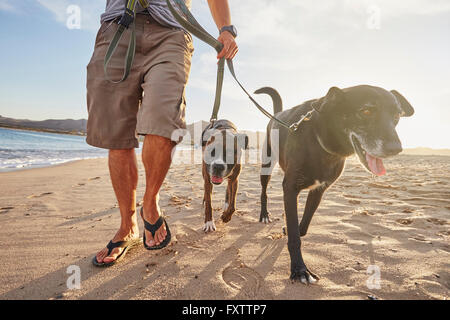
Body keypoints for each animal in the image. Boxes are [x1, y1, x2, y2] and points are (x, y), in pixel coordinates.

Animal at [256, 85, 414, 282]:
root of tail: (276, 115)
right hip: (267, 165)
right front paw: (299, 269)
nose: (395, 149)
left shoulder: (319, 190)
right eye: (366, 111)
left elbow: (302, 226)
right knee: (263, 192)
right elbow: (294, 236)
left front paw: (293, 231)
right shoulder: (290, 189)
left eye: (397, 116)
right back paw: (264, 214)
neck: (320, 142)